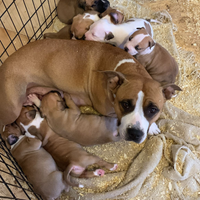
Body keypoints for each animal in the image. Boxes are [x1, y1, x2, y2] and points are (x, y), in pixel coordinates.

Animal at [0, 39, 181, 144]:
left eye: (153, 109)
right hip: (11, 109)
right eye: (125, 104)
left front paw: (153, 126)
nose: (135, 133)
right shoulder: (108, 111)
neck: (124, 67)